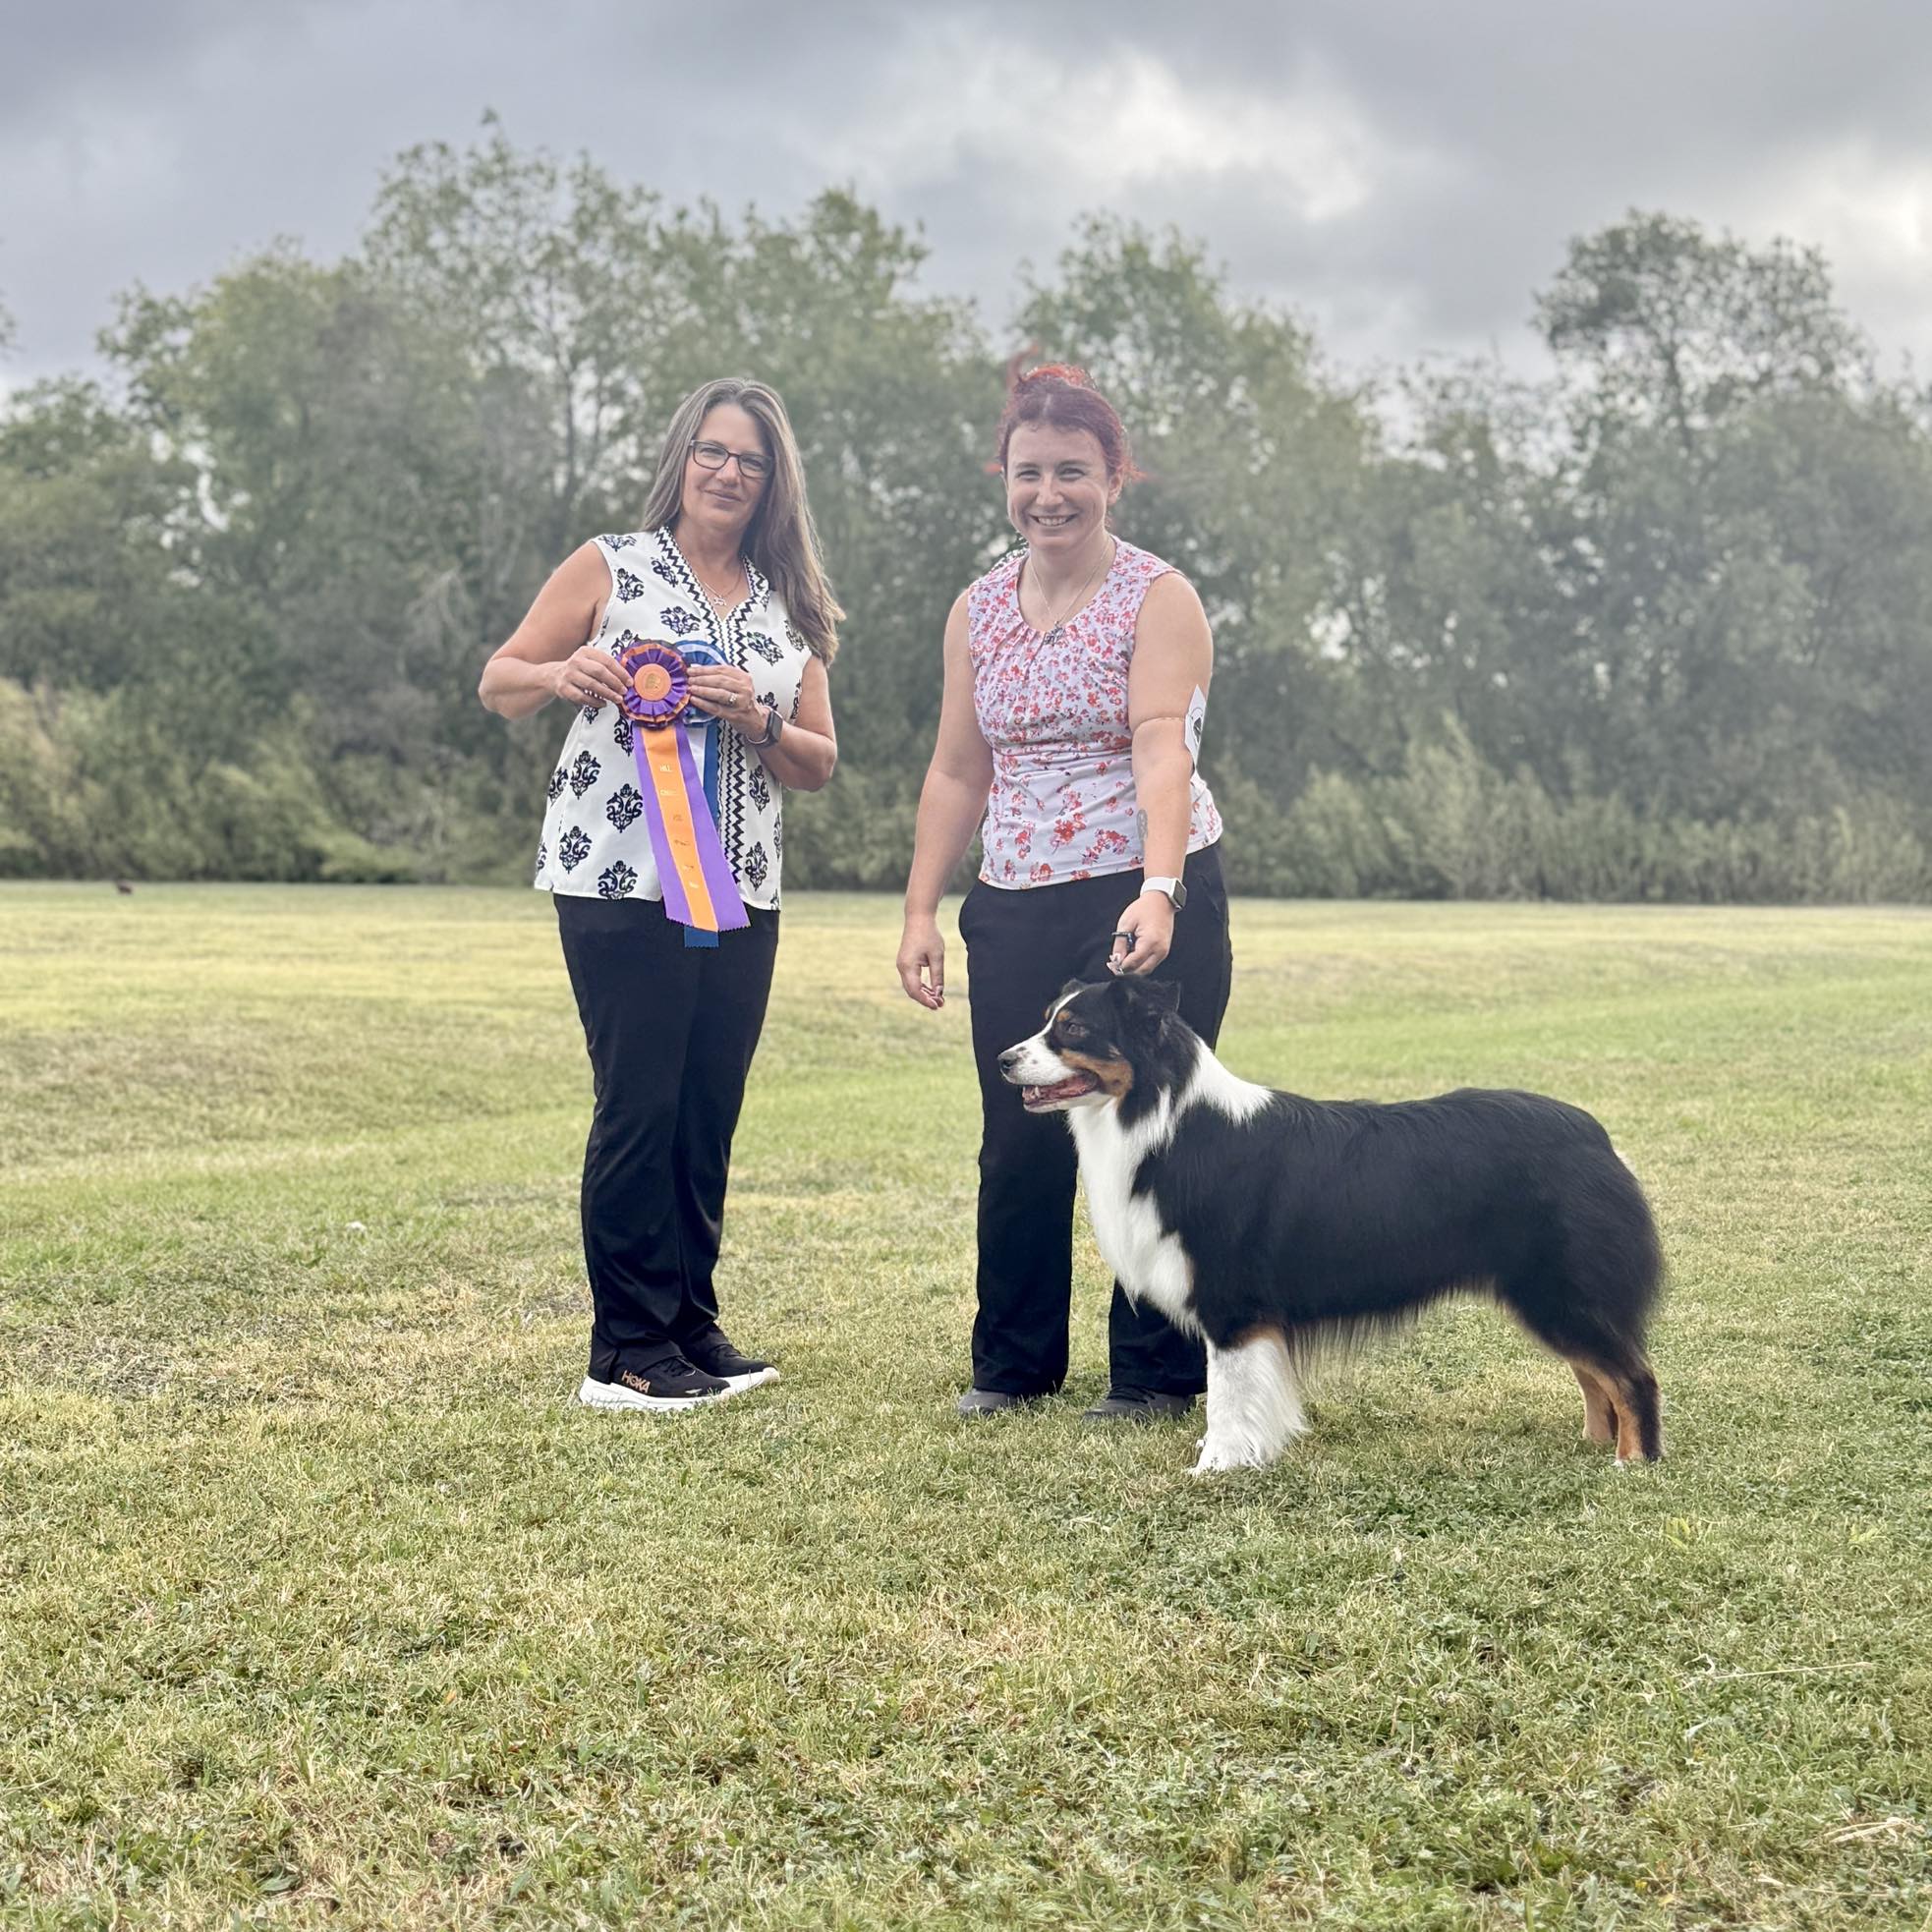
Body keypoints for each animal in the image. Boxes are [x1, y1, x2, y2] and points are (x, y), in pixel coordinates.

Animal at [999, 976, 1664, 1475]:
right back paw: (1594, 1446)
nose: (1004, 1060)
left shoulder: (1232, 1305)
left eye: (1074, 1029)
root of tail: (1595, 1135)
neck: (1164, 1118)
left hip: (1559, 1289)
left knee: (1631, 1373)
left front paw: (1217, 1466)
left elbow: (1227, 1395)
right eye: (1048, 1021)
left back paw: (1632, 1463)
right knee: (1594, 1374)